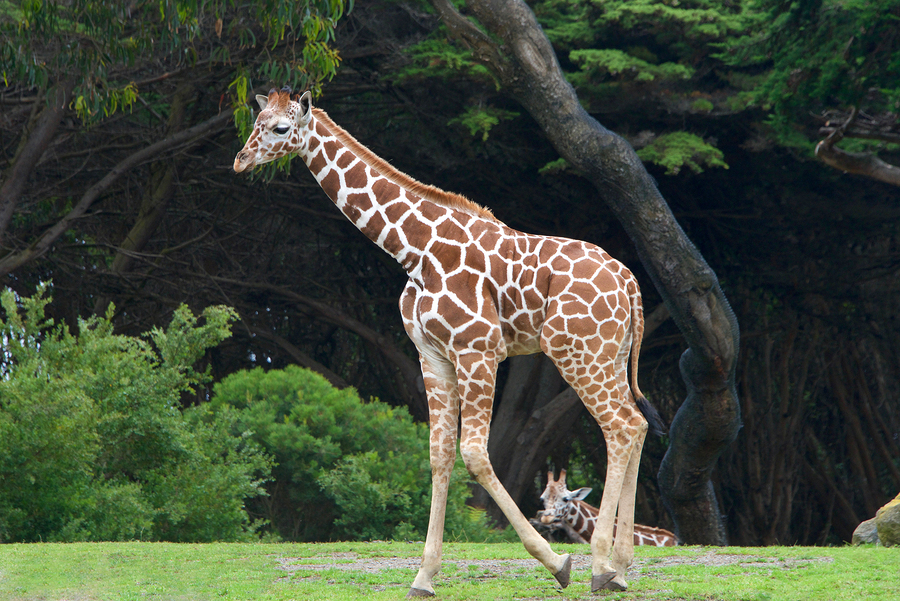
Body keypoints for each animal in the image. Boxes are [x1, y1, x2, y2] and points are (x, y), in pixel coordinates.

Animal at [236, 88, 664, 596]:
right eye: (256, 120)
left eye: (281, 128)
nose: (240, 160)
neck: (414, 250)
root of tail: (631, 285)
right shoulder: (432, 355)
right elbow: (439, 455)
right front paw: (424, 576)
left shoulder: (478, 351)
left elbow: (474, 454)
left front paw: (557, 562)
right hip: (608, 354)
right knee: (637, 423)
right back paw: (620, 566)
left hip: (577, 352)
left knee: (620, 426)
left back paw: (600, 567)